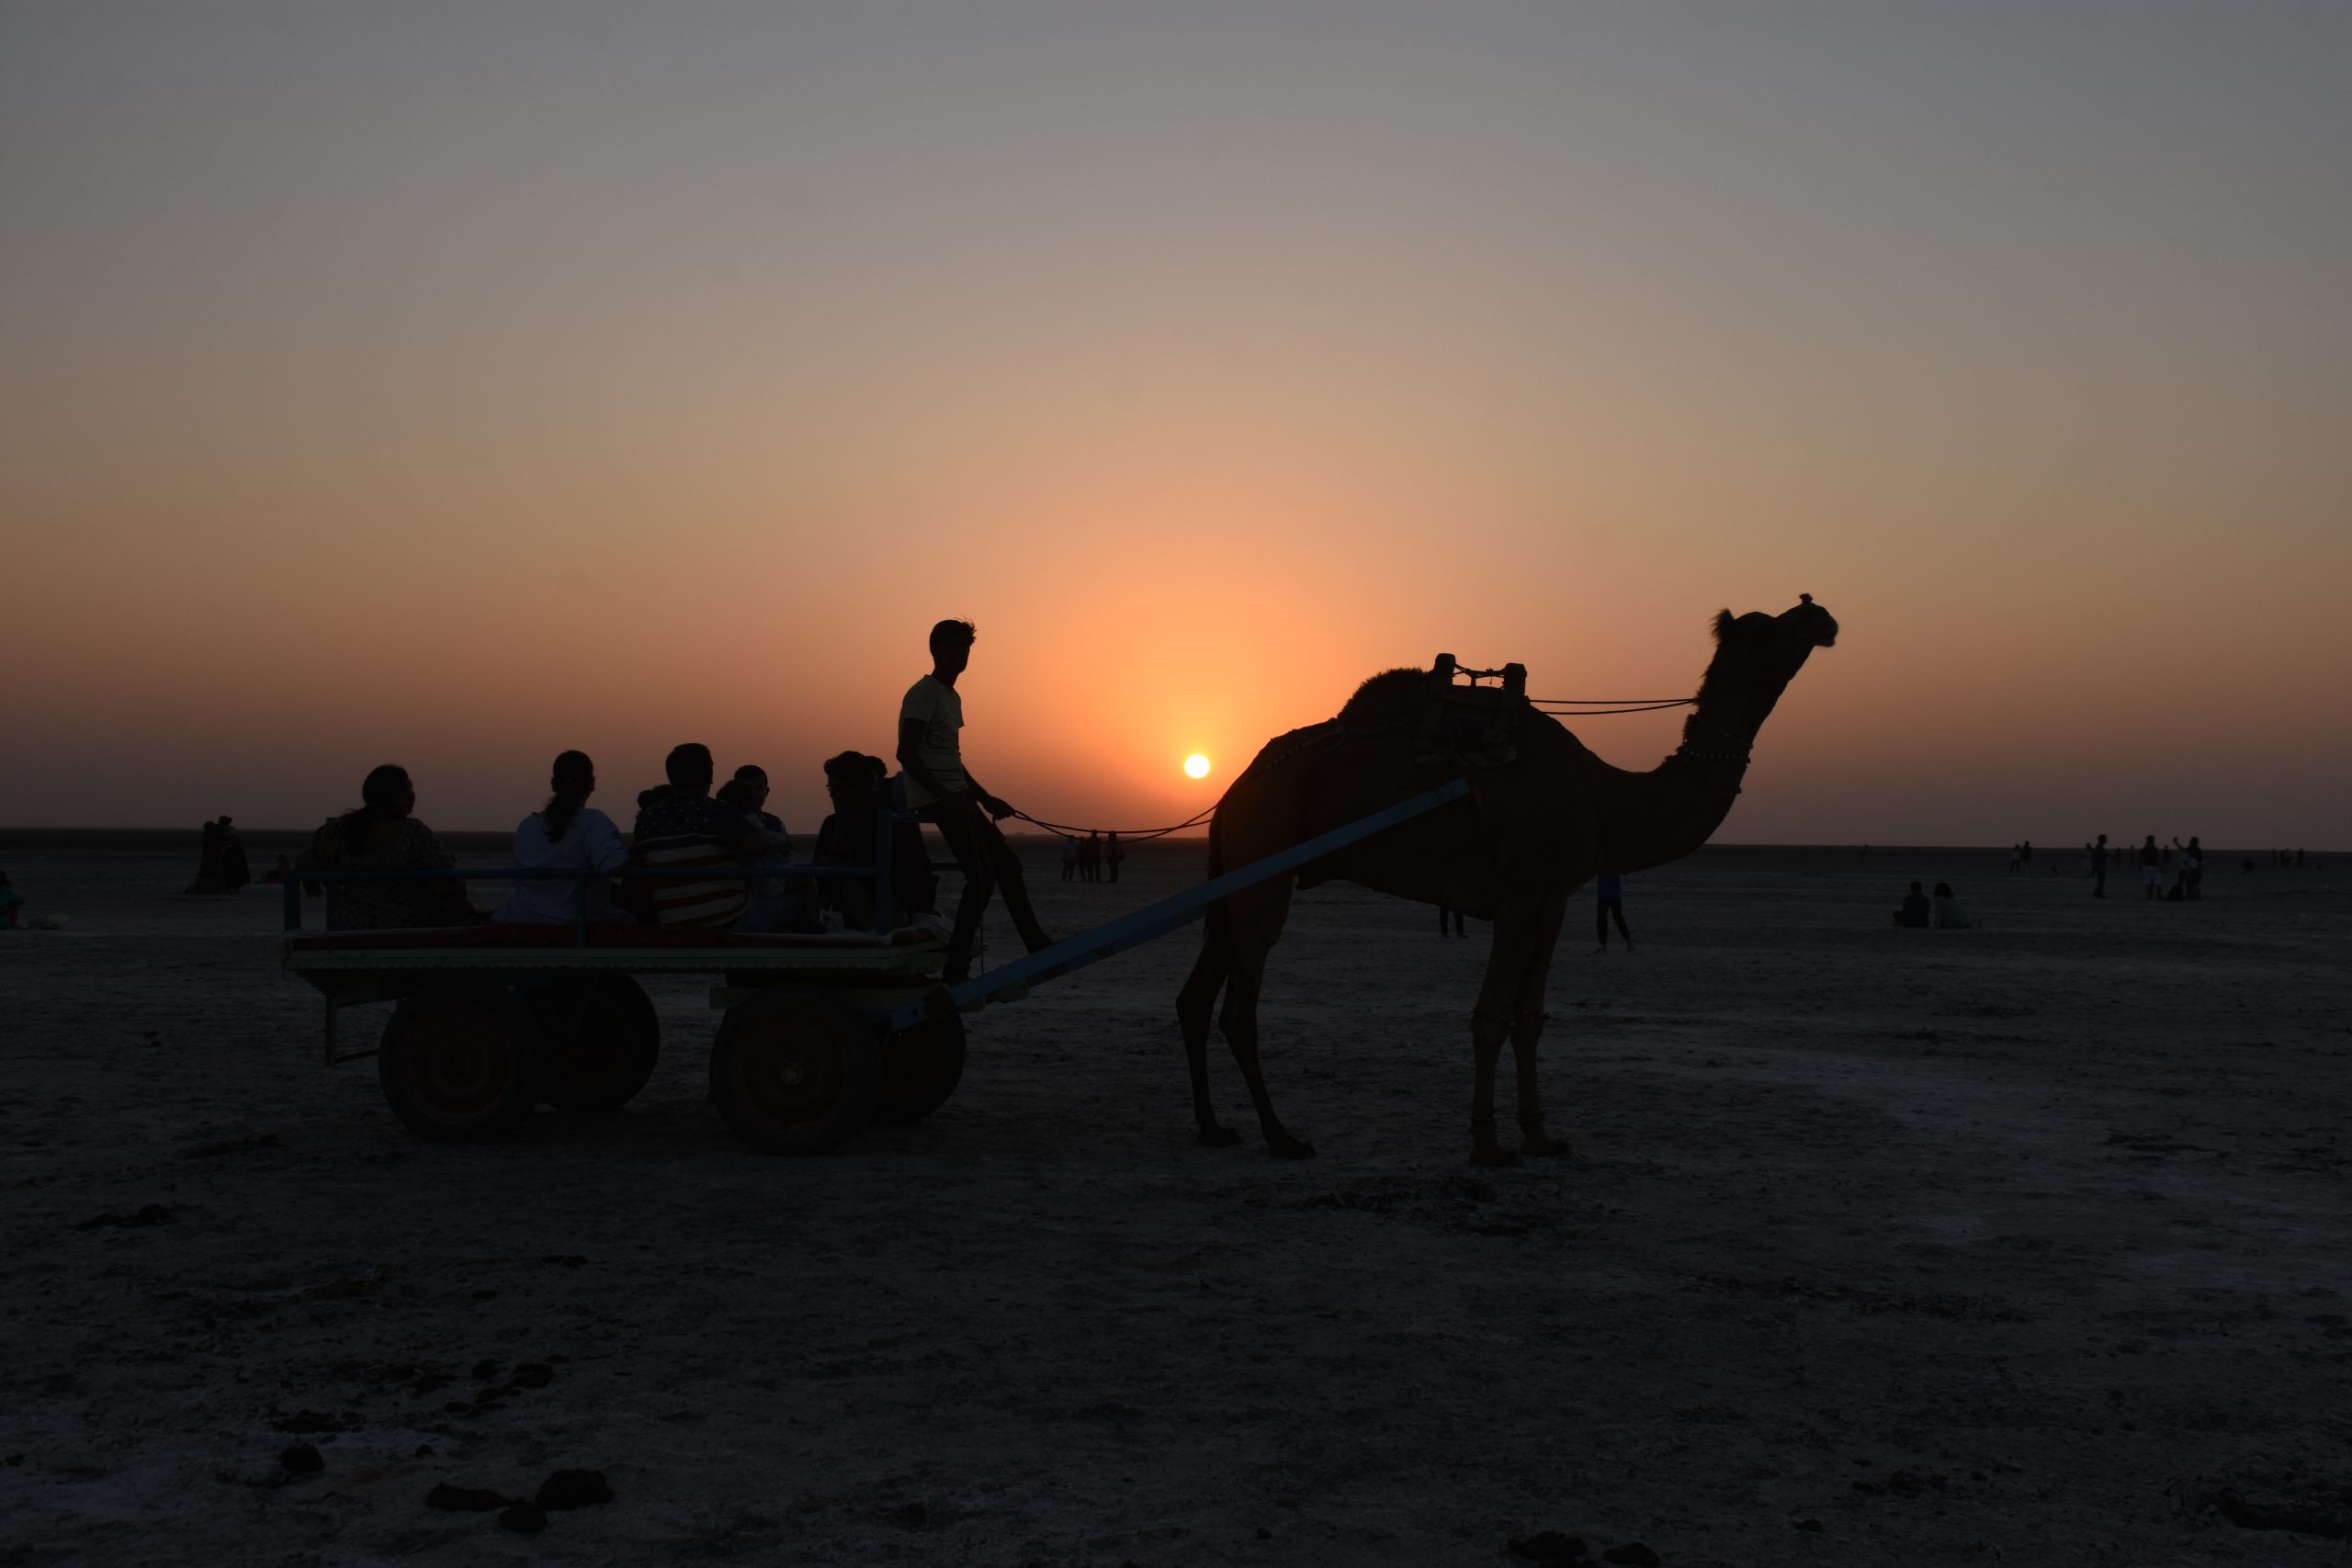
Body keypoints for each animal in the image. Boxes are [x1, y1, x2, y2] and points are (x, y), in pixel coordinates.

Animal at [1176, 597, 1834, 1166]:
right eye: (1768, 629)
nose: (1819, 613)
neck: (1604, 800)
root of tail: (1235, 788)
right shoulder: (1517, 897)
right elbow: (1490, 1016)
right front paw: (1488, 1143)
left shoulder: (1553, 901)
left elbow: (1530, 1017)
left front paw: (1541, 1136)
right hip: (1263, 860)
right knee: (1239, 1008)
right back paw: (1281, 1135)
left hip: (1234, 875)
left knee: (1196, 995)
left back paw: (1212, 1127)